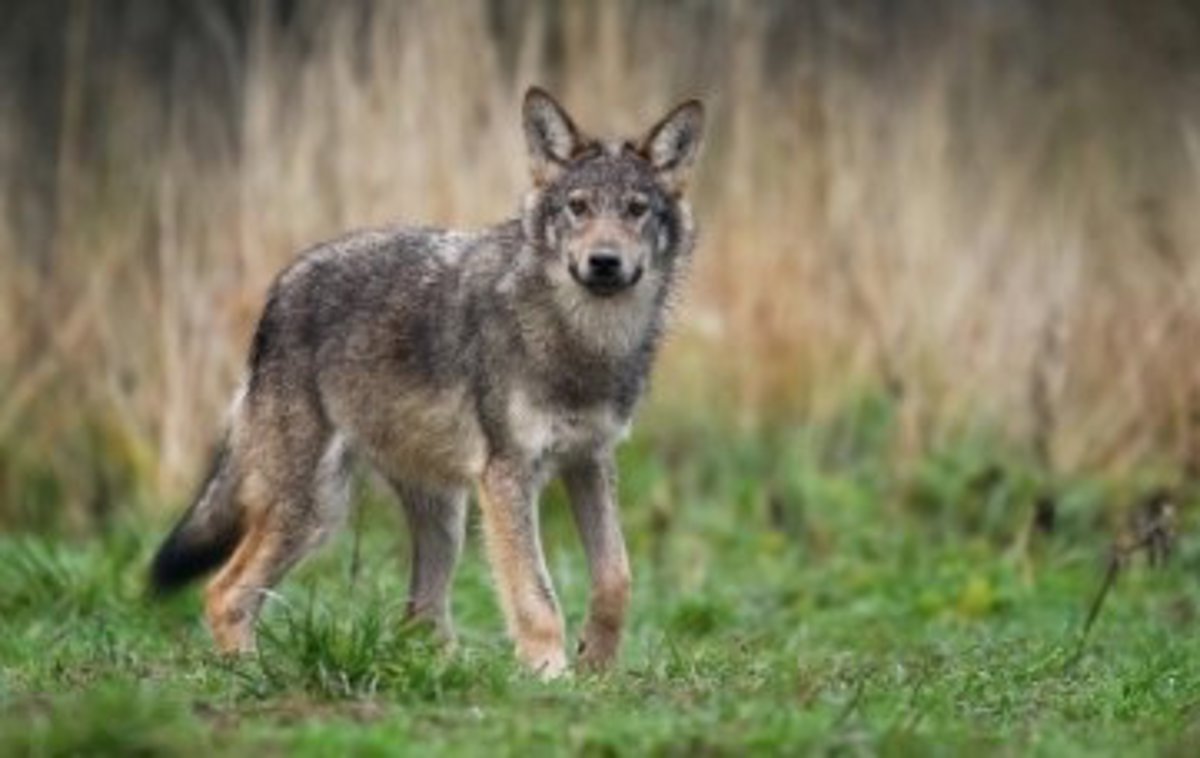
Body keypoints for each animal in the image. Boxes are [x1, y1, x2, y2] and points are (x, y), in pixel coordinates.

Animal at [149, 87, 704, 677]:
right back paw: (253, 673)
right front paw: (551, 674)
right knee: (225, 592)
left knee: (420, 616)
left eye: (636, 209)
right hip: (316, 510)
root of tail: (281, 287)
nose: (603, 262)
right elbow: (536, 596)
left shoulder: (590, 461)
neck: (582, 341)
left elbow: (617, 578)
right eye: (578, 207)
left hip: (445, 517)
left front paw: (596, 666)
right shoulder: (508, 475)